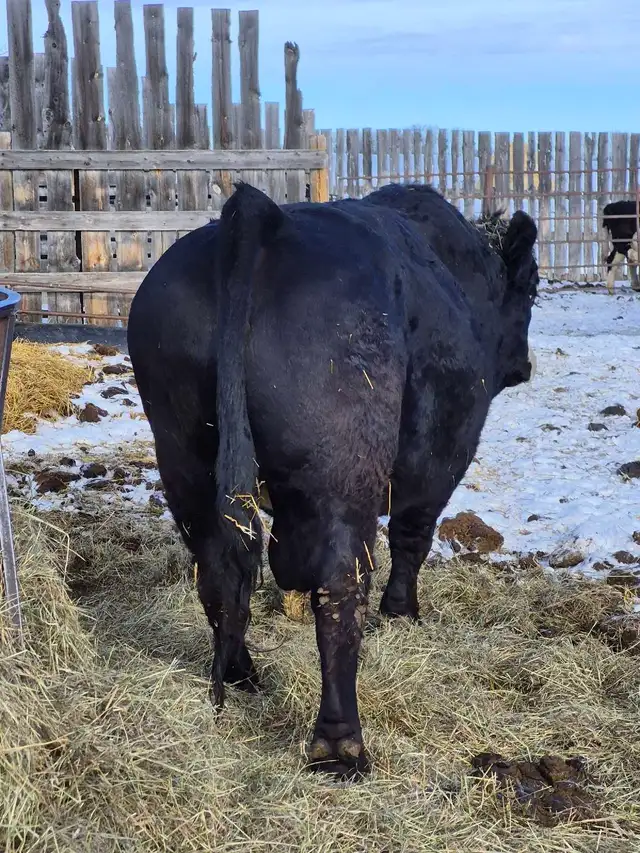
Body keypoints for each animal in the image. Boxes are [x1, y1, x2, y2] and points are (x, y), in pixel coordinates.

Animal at [127, 182, 538, 780]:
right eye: (530, 288)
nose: (523, 367)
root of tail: (262, 215)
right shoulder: (442, 455)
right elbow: (413, 536)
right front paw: (403, 612)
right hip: (345, 466)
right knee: (341, 585)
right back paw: (341, 746)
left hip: (183, 455)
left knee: (217, 572)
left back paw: (240, 674)